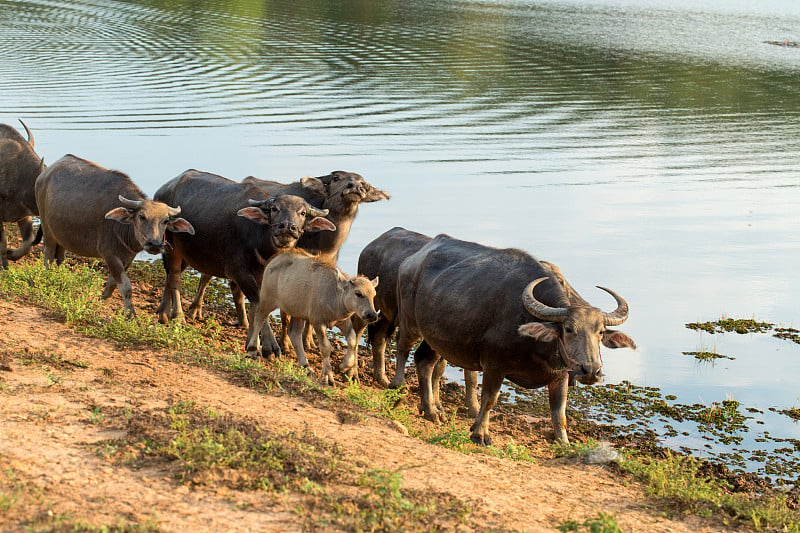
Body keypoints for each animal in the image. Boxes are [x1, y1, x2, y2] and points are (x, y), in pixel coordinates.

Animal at [35, 155, 195, 316]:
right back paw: (48, 276)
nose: (154, 244)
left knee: (59, 256)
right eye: (142, 217)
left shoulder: (127, 257)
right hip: (46, 228)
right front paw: (130, 314)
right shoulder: (109, 255)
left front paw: (101, 299)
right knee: (48, 253)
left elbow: (112, 282)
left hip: (60, 235)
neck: (123, 229)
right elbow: (126, 286)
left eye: (165, 220)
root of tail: (44, 174)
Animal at [153, 170, 334, 342]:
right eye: (274, 209)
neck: (261, 241)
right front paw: (268, 344)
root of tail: (163, 191)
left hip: (183, 253)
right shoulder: (238, 272)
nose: (288, 227)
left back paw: (163, 312)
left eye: (302, 213)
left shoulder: (262, 276)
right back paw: (178, 316)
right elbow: (257, 303)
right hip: (171, 247)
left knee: (169, 276)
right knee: (175, 278)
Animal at [245, 250, 380, 386]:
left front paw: (343, 365)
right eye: (358, 293)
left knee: (294, 334)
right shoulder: (318, 322)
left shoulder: (343, 322)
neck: (334, 295)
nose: (372, 315)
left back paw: (305, 366)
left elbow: (353, 341)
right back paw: (252, 349)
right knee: (259, 317)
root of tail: (273, 261)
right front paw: (327, 376)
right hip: (267, 300)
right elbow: (325, 347)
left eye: (374, 295)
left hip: (297, 314)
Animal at [396, 233, 636, 444]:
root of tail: (412, 260)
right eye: (568, 329)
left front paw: (564, 442)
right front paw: (480, 434)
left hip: (436, 338)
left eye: (600, 332)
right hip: (410, 323)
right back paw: (397, 387)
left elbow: (559, 412)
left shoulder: (560, 376)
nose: (591, 371)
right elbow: (489, 399)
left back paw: (431, 410)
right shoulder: (494, 365)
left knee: (424, 361)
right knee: (403, 349)